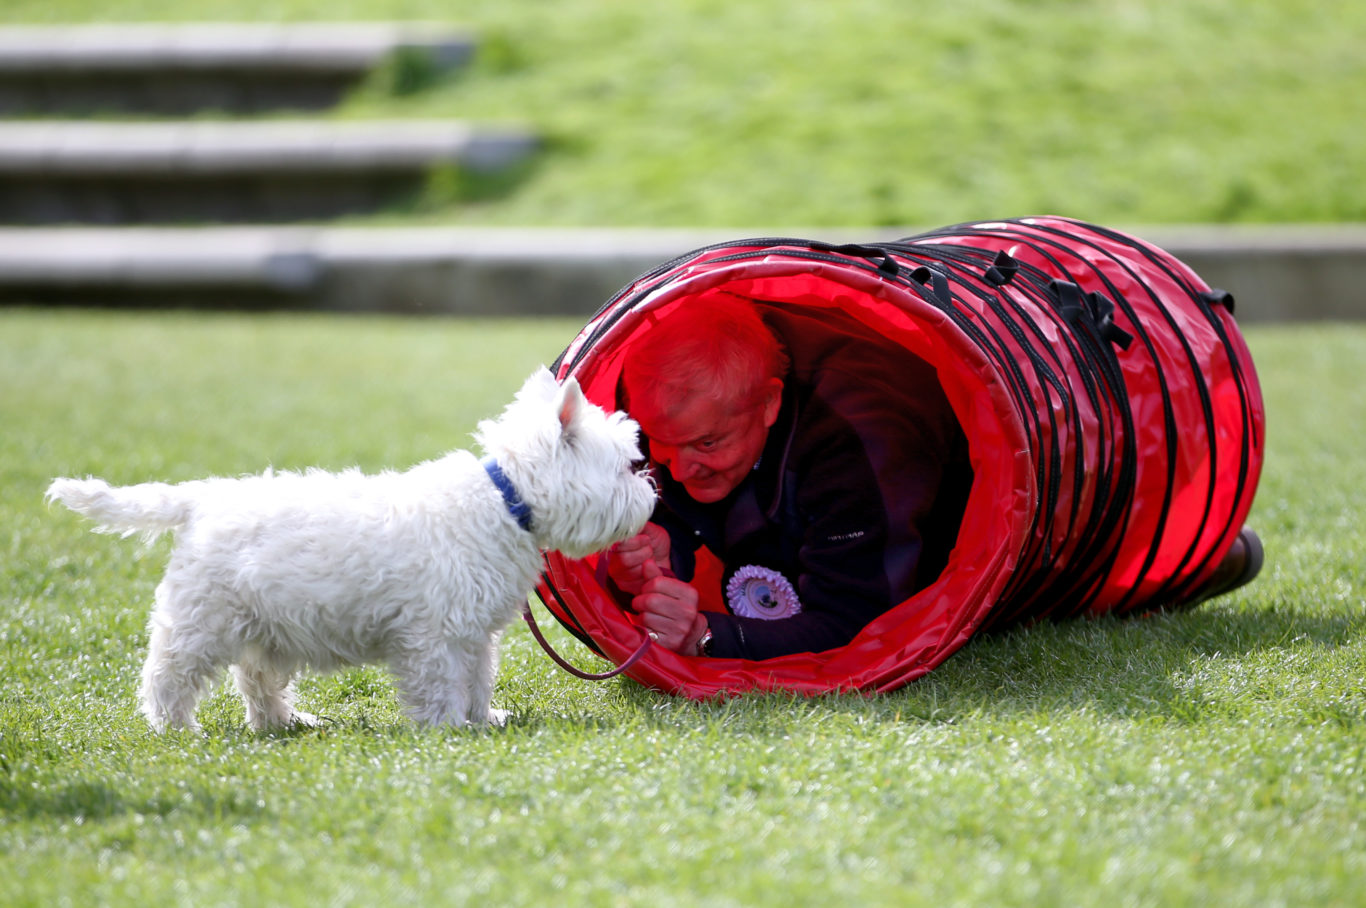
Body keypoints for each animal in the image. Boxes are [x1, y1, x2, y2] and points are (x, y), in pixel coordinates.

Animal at [48, 365, 655, 731]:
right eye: (626, 465)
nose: (651, 495)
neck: (505, 500)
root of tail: (198, 501)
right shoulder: (432, 632)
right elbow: (440, 683)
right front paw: (447, 728)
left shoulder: (474, 632)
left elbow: (479, 677)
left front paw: (483, 718)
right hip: (201, 620)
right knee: (167, 674)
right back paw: (177, 728)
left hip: (261, 626)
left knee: (255, 680)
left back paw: (286, 723)